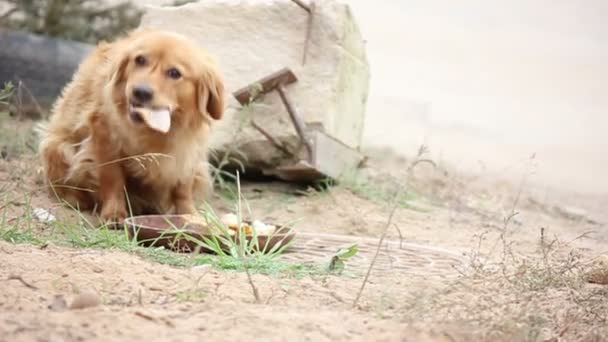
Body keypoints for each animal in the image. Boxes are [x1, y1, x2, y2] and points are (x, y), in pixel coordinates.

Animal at [37, 28, 226, 222]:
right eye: (140, 60)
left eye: (174, 73)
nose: (140, 92)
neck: (154, 132)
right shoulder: (105, 138)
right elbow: (113, 180)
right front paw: (114, 213)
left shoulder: (189, 151)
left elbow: (182, 188)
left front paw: (188, 214)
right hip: (58, 147)